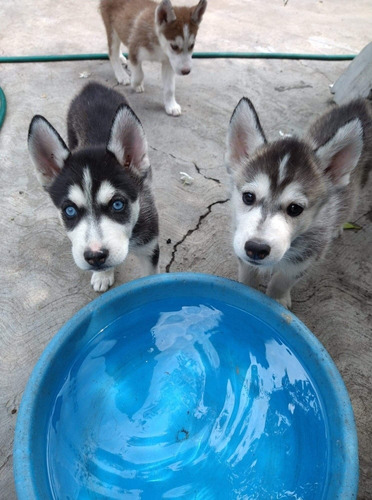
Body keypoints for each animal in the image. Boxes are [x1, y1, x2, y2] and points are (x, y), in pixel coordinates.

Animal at [27, 82, 158, 292]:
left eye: (117, 204)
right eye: (69, 210)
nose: (95, 256)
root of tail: (93, 86)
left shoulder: (149, 247)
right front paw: (103, 274)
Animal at [225, 96, 370, 308]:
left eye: (295, 209)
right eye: (248, 197)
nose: (256, 248)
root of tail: (360, 103)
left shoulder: (306, 258)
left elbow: (282, 280)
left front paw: (276, 299)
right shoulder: (240, 243)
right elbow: (247, 276)